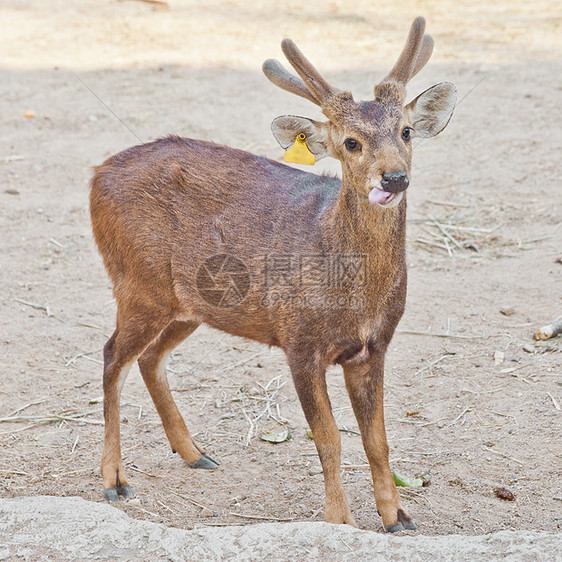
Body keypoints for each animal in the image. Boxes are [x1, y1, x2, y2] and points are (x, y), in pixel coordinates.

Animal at [88, 16, 456, 528]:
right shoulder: (298, 341)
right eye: (351, 142)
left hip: (191, 304)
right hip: (137, 282)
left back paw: (195, 453)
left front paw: (397, 516)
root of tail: (96, 176)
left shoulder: (374, 346)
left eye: (405, 131)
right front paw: (340, 521)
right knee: (111, 357)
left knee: (149, 358)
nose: (394, 178)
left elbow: (377, 440)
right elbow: (330, 439)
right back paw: (115, 480)